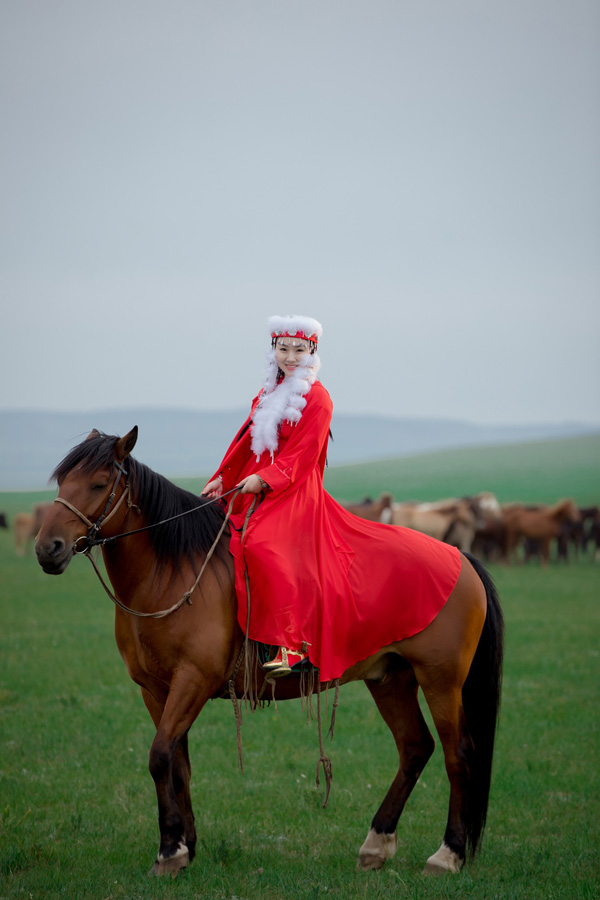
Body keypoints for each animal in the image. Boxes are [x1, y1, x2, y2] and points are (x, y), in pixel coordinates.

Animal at [35, 428, 504, 880]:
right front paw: (186, 848)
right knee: (414, 747)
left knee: (458, 754)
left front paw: (168, 851)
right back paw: (376, 845)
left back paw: (447, 854)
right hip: (391, 678)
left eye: (98, 484)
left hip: (440, 681)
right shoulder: (156, 690)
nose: (47, 549)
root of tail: (460, 557)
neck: (171, 572)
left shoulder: (193, 681)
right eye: (61, 481)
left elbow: (159, 756)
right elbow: (177, 764)